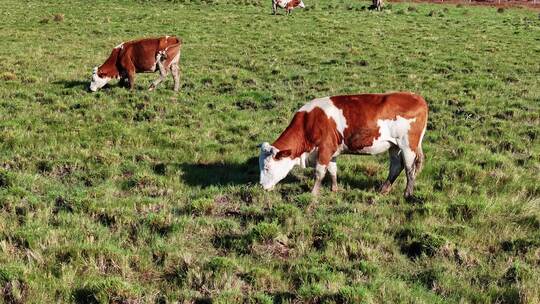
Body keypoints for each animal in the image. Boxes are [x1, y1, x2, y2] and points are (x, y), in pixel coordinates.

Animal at [260, 92, 428, 197]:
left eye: (267, 167)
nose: (261, 186)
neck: (309, 122)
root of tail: (417, 97)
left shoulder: (325, 149)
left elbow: (319, 173)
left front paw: (313, 193)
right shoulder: (331, 151)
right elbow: (332, 170)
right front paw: (334, 188)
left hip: (408, 146)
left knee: (409, 169)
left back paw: (407, 193)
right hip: (393, 146)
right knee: (396, 166)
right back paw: (384, 189)